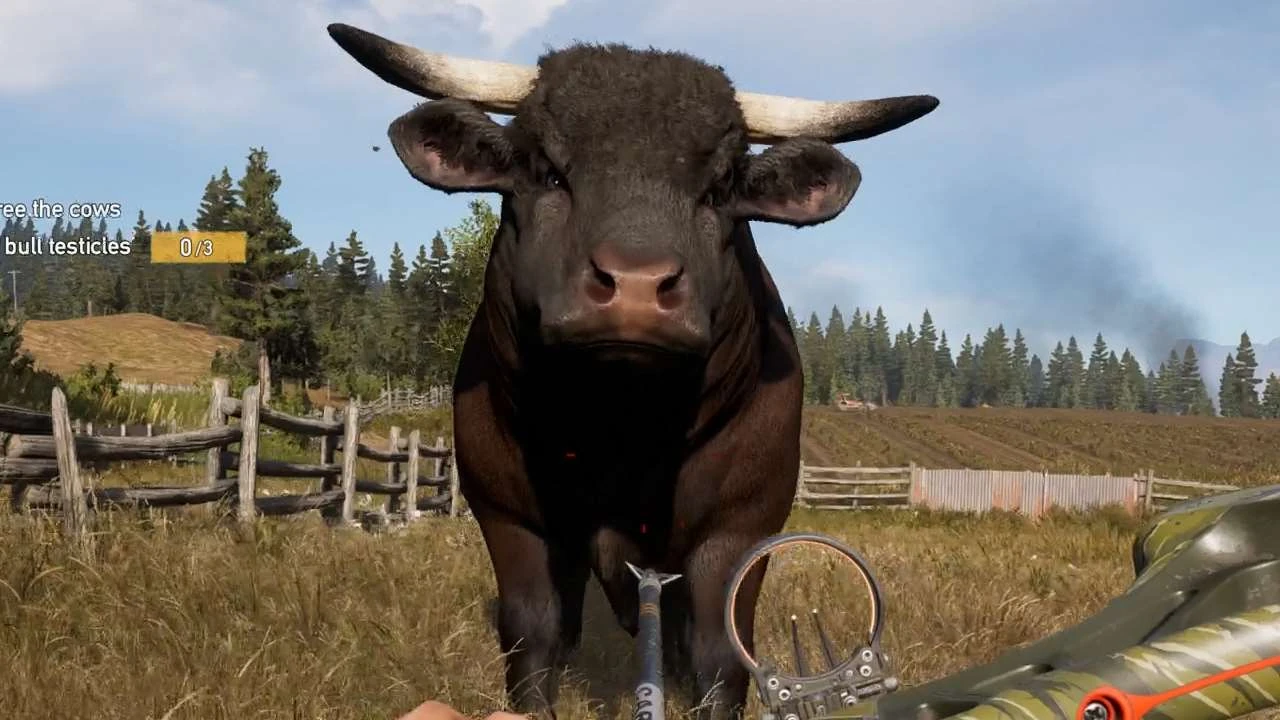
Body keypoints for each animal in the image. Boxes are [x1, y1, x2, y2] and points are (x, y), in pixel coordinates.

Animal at [328, 23, 937, 720]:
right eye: (548, 171)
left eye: (719, 189)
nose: (638, 287)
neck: (619, 432)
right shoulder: (510, 519)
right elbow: (533, 636)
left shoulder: (742, 526)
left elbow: (720, 652)